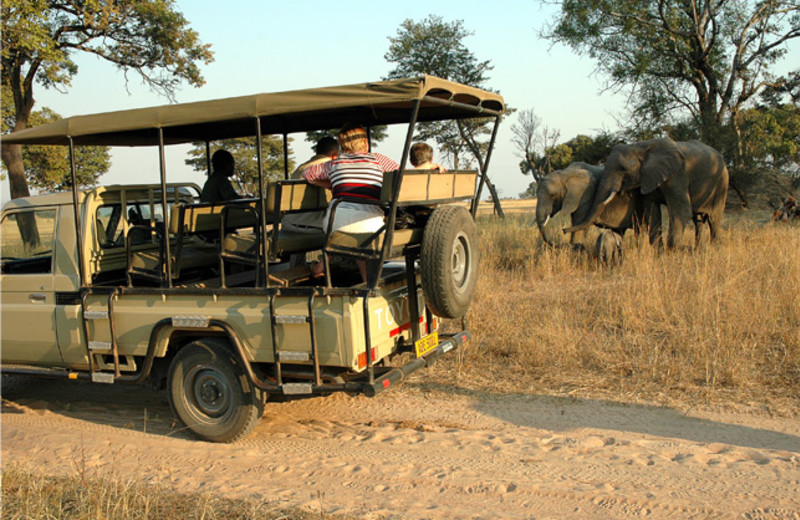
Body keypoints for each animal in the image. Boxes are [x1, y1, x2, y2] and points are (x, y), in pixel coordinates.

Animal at [564, 137, 728, 247]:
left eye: (623, 169)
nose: (564, 229)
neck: (642, 146)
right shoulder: (648, 177)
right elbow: (652, 212)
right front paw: (658, 251)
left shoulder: (677, 175)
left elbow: (681, 211)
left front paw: (673, 252)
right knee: (698, 220)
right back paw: (699, 248)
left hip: (722, 183)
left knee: (714, 219)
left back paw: (714, 248)